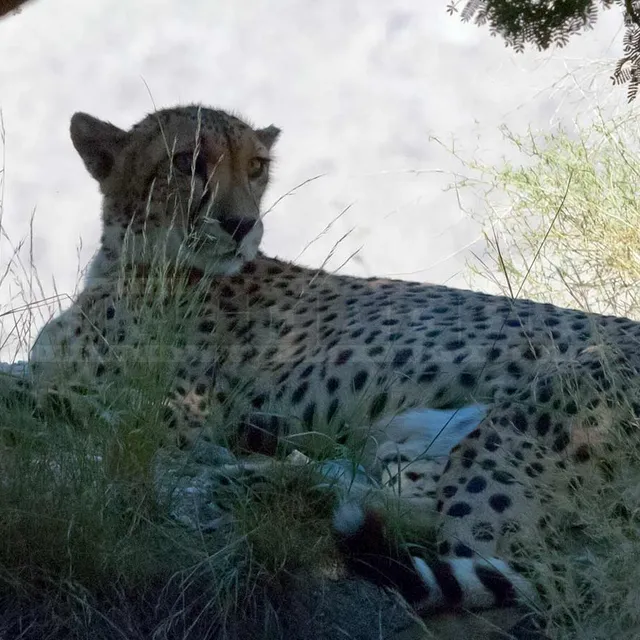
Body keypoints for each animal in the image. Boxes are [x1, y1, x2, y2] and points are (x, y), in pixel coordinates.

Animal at [29, 104, 640, 635]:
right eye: (185, 162)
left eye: (256, 167)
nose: (241, 225)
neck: (134, 261)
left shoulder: (176, 412)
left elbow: (56, 400)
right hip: (407, 431)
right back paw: (270, 465)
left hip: (537, 415)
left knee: (475, 548)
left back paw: (255, 478)